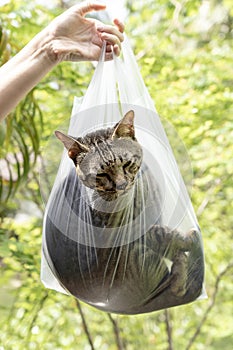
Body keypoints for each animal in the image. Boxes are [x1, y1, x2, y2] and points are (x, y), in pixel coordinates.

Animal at [45, 110, 204, 314]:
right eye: (100, 175)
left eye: (127, 164)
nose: (121, 185)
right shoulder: (133, 232)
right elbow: (166, 236)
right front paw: (186, 241)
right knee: (175, 287)